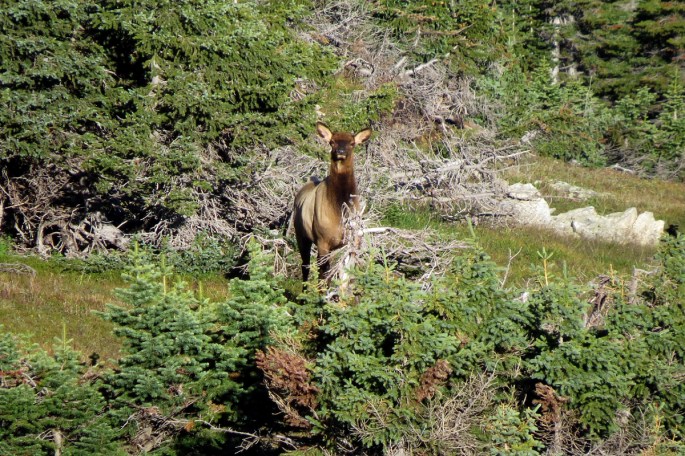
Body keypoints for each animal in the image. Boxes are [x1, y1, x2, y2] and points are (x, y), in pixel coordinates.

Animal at [293, 122, 372, 282]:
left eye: (352, 143)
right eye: (332, 142)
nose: (340, 152)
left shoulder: (352, 242)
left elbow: (346, 274)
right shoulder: (323, 241)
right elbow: (325, 274)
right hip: (301, 235)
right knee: (306, 265)